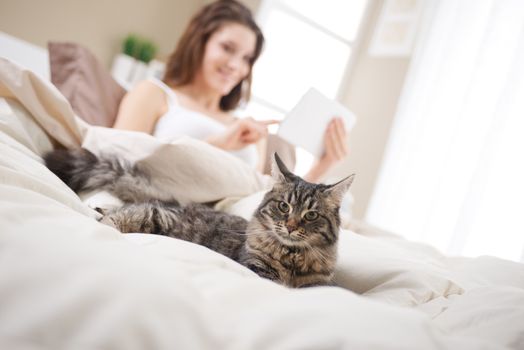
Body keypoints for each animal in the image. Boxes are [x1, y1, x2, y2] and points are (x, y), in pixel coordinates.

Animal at [45, 148, 354, 288]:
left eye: (311, 215)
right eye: (283, 207)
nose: (289, 227)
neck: (292, 257)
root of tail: (177, 204)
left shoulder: (320, 284)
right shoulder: (257, 269)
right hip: (158, 217)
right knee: (125, 214)